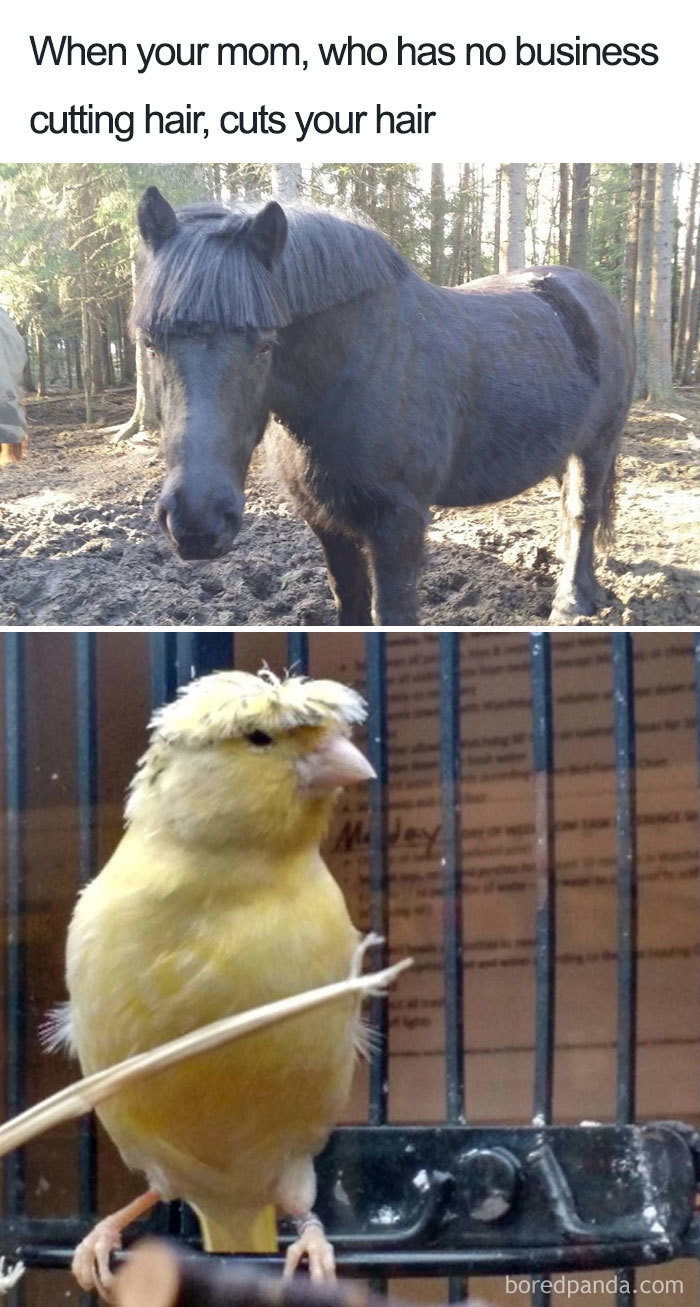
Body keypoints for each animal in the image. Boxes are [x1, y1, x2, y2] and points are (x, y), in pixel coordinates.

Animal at [133, 186, 635, 626]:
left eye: (264, 345)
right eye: (151, 343)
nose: (197, 522)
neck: (352, 371)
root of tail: (592, 295)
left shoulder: (399, 524)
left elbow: (393, 613)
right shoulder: (326, 521)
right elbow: (349, 598)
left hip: (599, 443)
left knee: (583, 511)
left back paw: (572, 601)